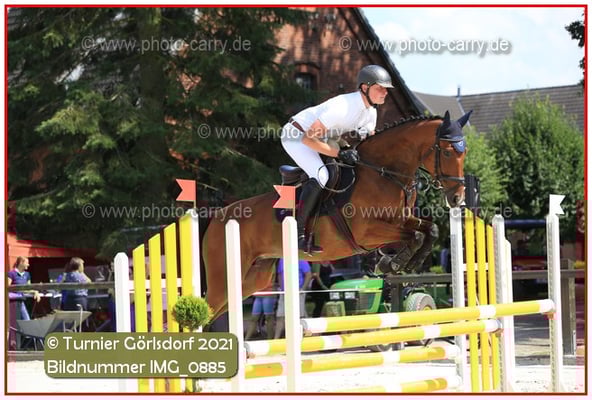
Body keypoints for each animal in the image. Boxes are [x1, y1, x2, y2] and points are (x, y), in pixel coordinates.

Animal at [202, 111, 471, 320]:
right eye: (448, 152)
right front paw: (393, 262)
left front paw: (402, 262)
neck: (383, 172)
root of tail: (217, 217)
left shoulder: (400, 220)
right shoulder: (367, 232)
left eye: (464, 152)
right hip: (223, 278)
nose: (457, 198)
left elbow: (428, 230)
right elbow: (414, 236)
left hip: (253, 279)